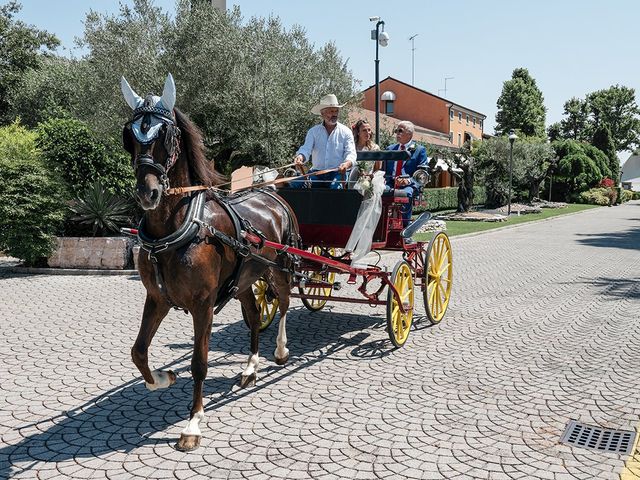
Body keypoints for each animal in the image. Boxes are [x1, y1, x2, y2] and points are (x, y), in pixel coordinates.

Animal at [121, 74, 298, 450]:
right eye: (130, 135)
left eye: (167, 134)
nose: (147, 193)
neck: (175, 229)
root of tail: (272, 193)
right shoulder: (157, 298)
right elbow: (139, 351)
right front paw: (163, 377)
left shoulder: (202, 305)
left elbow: (199, 362)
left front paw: (193, 423)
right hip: (246, 280)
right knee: (253, 316)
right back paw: (249, 368)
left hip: (279, 270)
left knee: (284, 304)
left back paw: (280, 351)